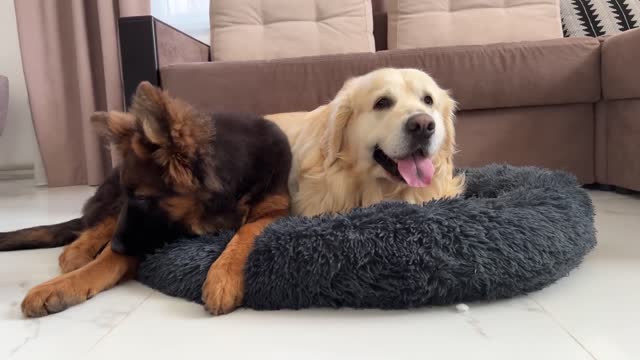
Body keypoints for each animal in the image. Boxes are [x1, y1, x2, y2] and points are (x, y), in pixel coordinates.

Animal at [0, 81, 292, 316]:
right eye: (134, 197)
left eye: (142, 198)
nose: (117, 245)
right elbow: (105, 261)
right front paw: (66, 283)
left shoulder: (274, 211)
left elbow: (245, 232)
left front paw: (224, 275)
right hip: (112, 202)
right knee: (90, 230)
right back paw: (78, 255)